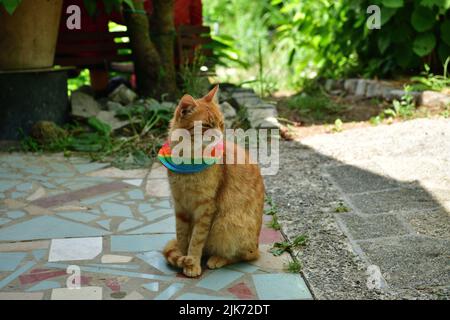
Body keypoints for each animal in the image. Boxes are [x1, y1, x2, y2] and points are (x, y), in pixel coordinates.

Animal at [163, 85, 266, 278]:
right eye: (207, 126)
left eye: (221, 124)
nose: (219, 136)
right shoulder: (180, 206)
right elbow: (181, 237)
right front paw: (182, 257)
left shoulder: (206, 209)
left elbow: (196, 240)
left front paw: (192, 263)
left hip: (227, 224)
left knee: (247, 255)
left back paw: (217, 259)